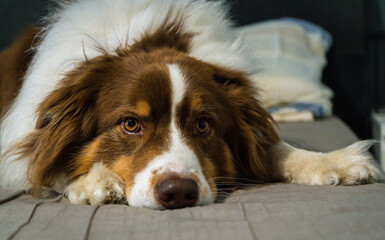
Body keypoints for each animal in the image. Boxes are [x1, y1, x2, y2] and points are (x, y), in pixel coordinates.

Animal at [0, 0, 382, 209]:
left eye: (203, 124)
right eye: (130, 124)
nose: (178, 192)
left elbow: (272, 147)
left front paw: (335, 162)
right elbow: (41, 164)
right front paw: (95, 182)